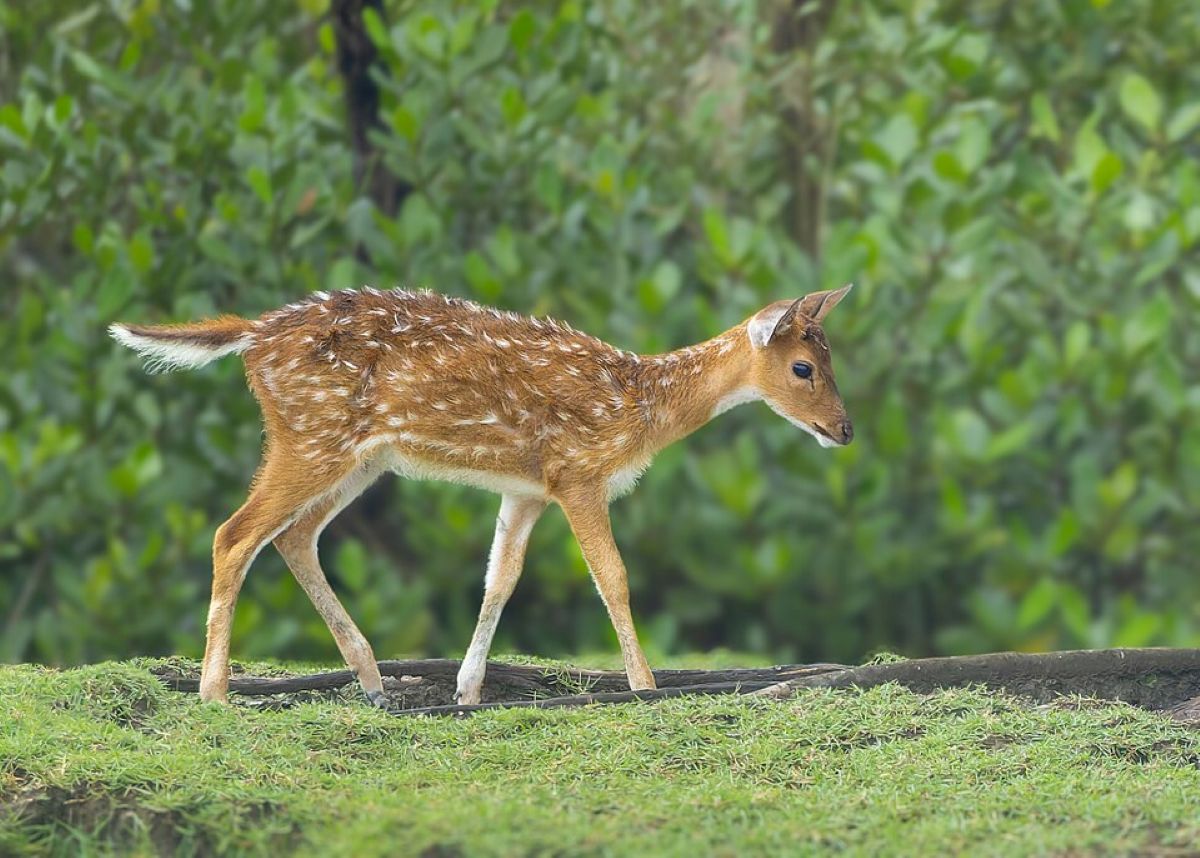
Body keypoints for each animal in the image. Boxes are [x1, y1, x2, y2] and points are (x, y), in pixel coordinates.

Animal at [109, 284, 853, 707]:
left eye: (830, 361)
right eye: (803, 367)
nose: (844, 429)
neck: (640, 406)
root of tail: (252, 335)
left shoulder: (527, 489)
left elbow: (500, 577)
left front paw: (468, 692)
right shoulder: (577, 470)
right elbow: (612, 576)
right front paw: (644, 688)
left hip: (358, 455)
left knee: (293, 535)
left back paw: (374, 681)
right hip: (311, 436)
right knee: (233, 533)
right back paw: (214, 693)